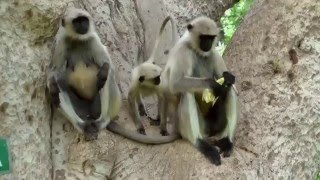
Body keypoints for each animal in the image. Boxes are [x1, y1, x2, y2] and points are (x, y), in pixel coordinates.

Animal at [161, 16, 239, 165]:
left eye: (211, 37)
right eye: (203, 37)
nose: (207, 43)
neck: (197, 51)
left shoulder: (214, 54)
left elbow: (231, 83)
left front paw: (226, 80)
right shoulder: (182, 50)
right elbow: (176, 83)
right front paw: (214, 85)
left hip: (215, 126)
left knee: (230, 90)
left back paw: (226, 141)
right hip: (190, 126)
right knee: (187, 91)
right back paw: (200, 143)